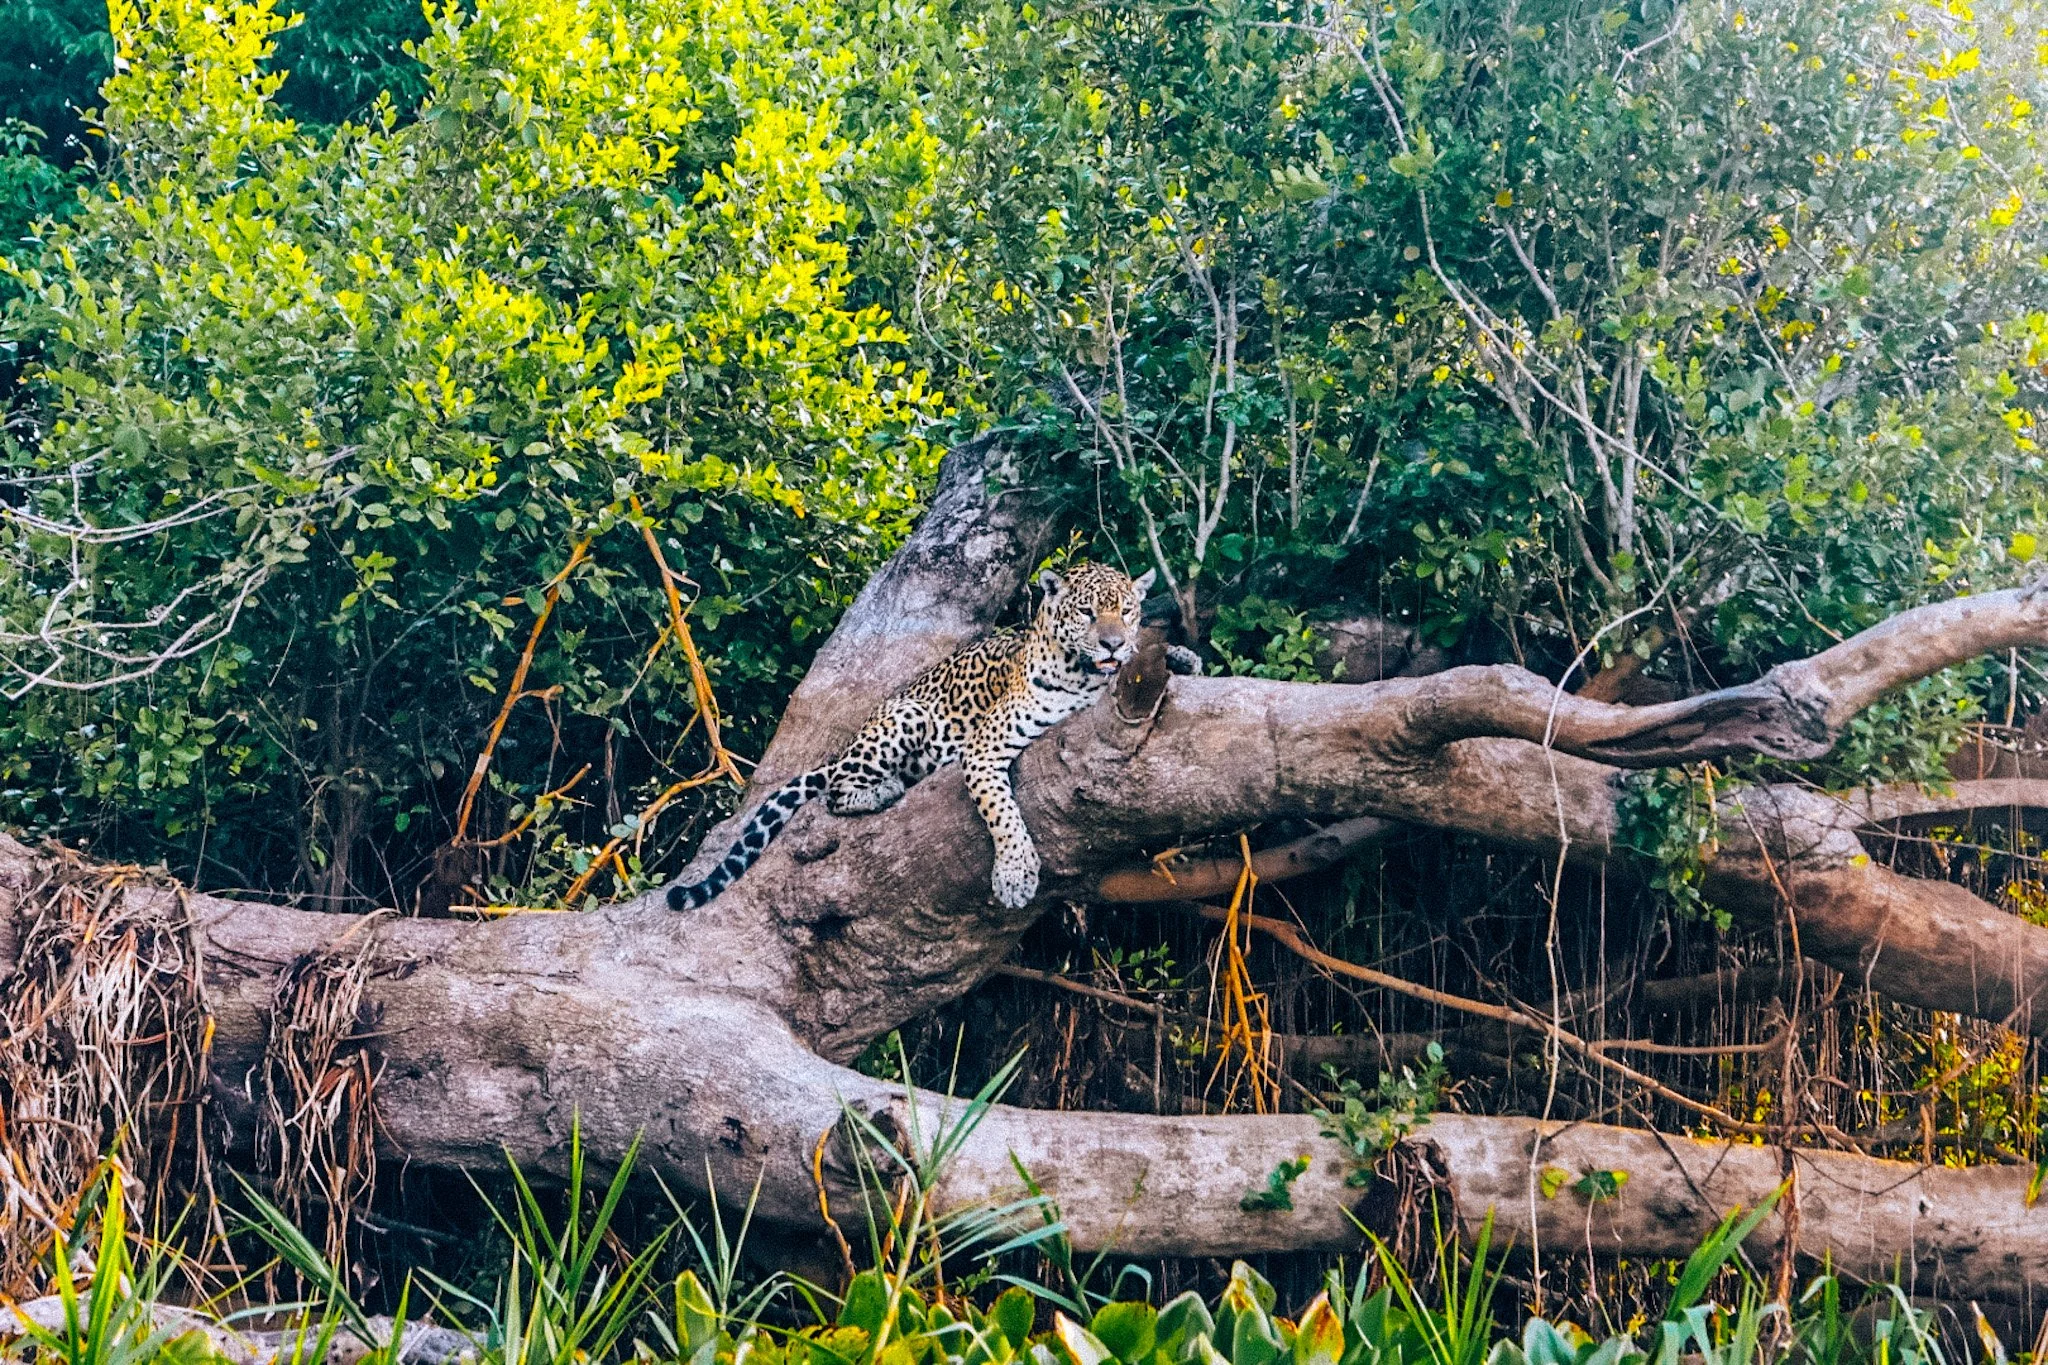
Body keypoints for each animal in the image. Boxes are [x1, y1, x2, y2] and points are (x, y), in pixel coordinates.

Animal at [667, 562, 1163, 913]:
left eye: (1127, 611)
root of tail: (851, 740)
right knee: (836, 790)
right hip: (908, 716)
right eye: (1087, 612)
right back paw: (883, 789)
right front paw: (1015, 875)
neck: (1084, 677)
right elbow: (1004, 813)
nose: (1115, 644)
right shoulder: (984, 747)